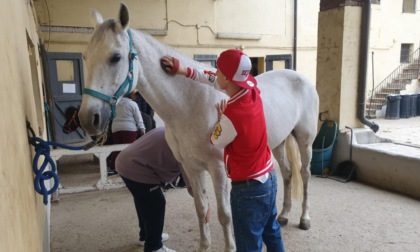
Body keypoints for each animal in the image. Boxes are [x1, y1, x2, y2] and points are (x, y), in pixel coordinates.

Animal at [78, 3, 318, 252]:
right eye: (85, 56)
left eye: (115, 57)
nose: (88, 118)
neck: (189, 103)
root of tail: (300, 76)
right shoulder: (191, 167)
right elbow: (202, 209)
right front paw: (204, 246)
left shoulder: (218, 169)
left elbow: (224, 215)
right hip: (279, 143)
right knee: (288, 173)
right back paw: (284, 215)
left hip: (305, 141)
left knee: (305, 174)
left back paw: (304, 218)